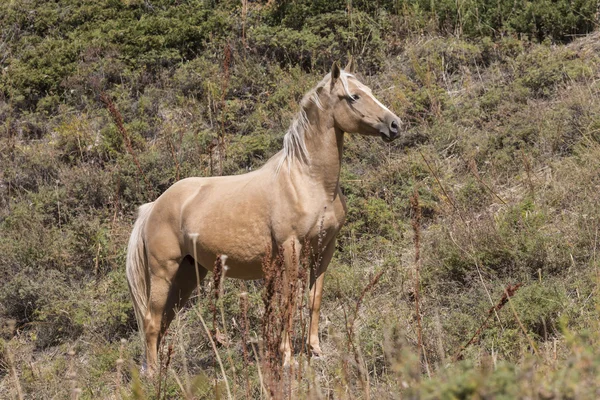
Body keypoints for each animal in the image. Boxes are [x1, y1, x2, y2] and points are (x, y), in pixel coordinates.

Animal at [126, 58, 404, 372]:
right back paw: (154, 375)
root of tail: (153, 207)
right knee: (151, 321)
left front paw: (315, 351)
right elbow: (289, 301)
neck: (308, 181)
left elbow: (314, 299)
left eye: (369, 91)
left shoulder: (324, 249)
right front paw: (287, 357)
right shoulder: (291, 248)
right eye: (354, 96)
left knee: (162, 322)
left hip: (188, 274)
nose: (395, 125)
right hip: (164, 271)